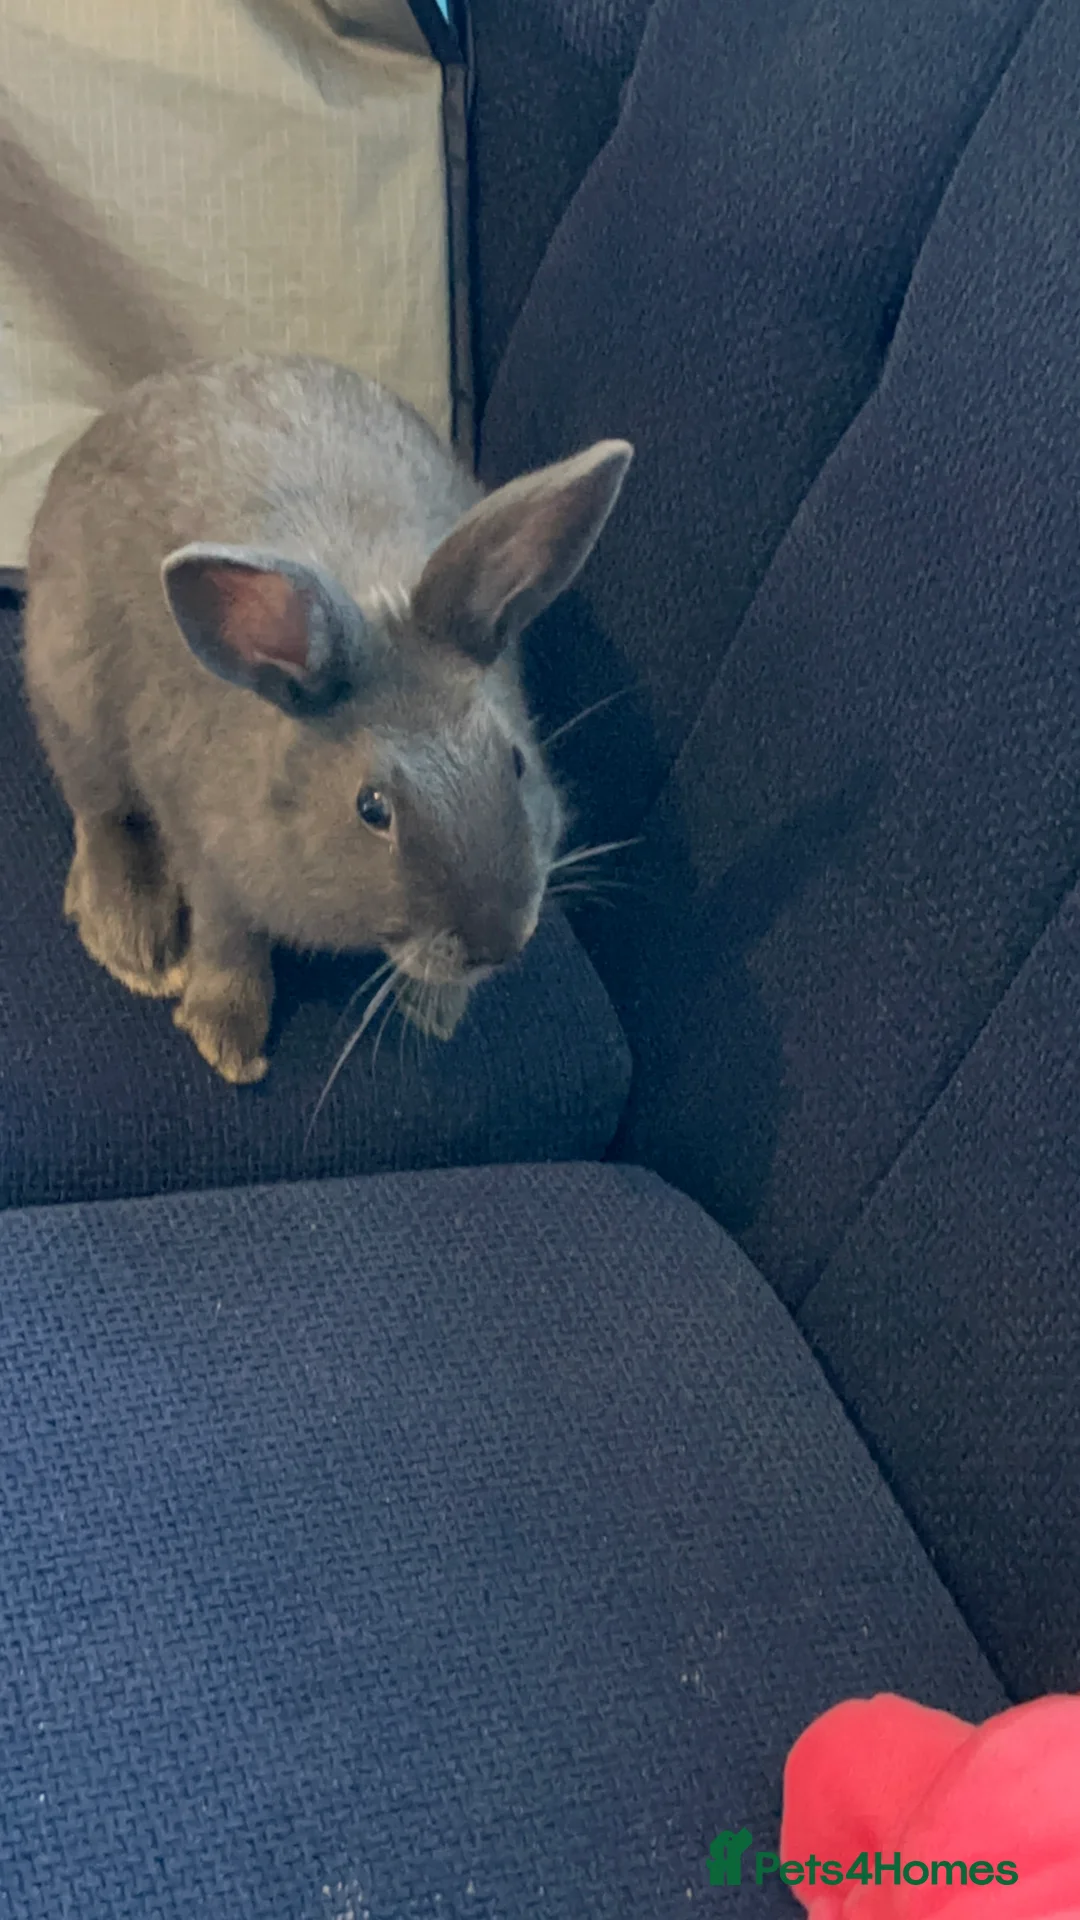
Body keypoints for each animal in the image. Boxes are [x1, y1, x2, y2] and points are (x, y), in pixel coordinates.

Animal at [22, 353, 633, 1084]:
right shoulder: (211, 860)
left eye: (514, 761)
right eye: (372, 808)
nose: (498, 942)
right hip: (70, 697)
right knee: (100, 811)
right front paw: (227, 1040)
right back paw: (134, 942)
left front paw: (436, 1009)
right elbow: (228, 940)